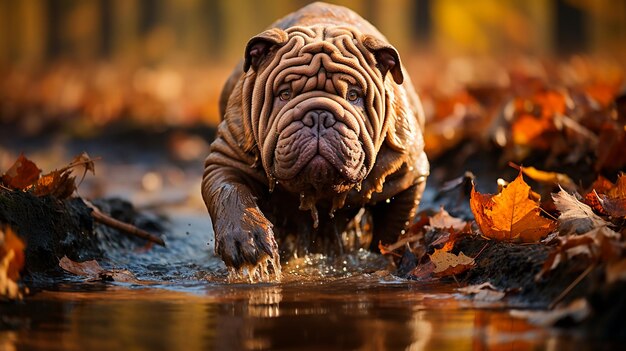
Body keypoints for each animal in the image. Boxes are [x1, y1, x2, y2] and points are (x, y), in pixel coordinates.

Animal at [202, 1, 426, 280]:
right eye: (284, 94)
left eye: (354, 95)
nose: (319, 115)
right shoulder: (226, 157)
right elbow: (230, 192)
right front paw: (247, 242)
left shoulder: (408, 174)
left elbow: (394, 230)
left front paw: (384, 258)